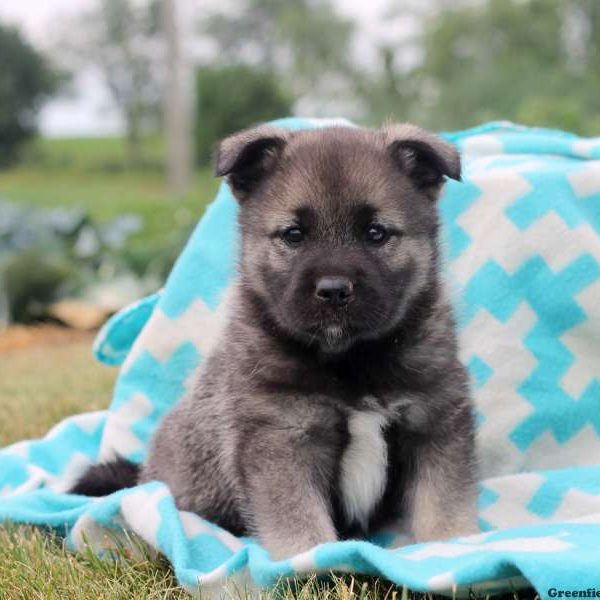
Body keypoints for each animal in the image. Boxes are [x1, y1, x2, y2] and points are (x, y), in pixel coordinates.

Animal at [72, 124, 480, 560]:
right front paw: (311, 562)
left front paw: (453, 544)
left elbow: (442, 501)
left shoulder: (434, 422)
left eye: (376, 233)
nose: (333, 290)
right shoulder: (282, 440)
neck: (349, 361)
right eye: (293, 235)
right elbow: (298, 519)